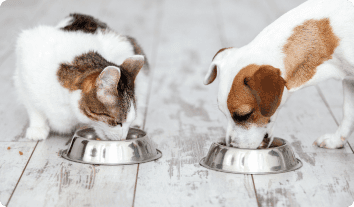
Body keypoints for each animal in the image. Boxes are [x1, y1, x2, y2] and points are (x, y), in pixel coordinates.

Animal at [13, 13, 149, 141]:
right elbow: (34, 108)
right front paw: (37, 128)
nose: (123, 138)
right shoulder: (24, 68)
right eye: (118, 122)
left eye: (128, 122)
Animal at [203, 0, 354, 149]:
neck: (328, 34)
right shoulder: (349, 81)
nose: (232, 146)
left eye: (244, 115)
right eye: (223, 113)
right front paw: (336, 140)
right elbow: (348, 113)